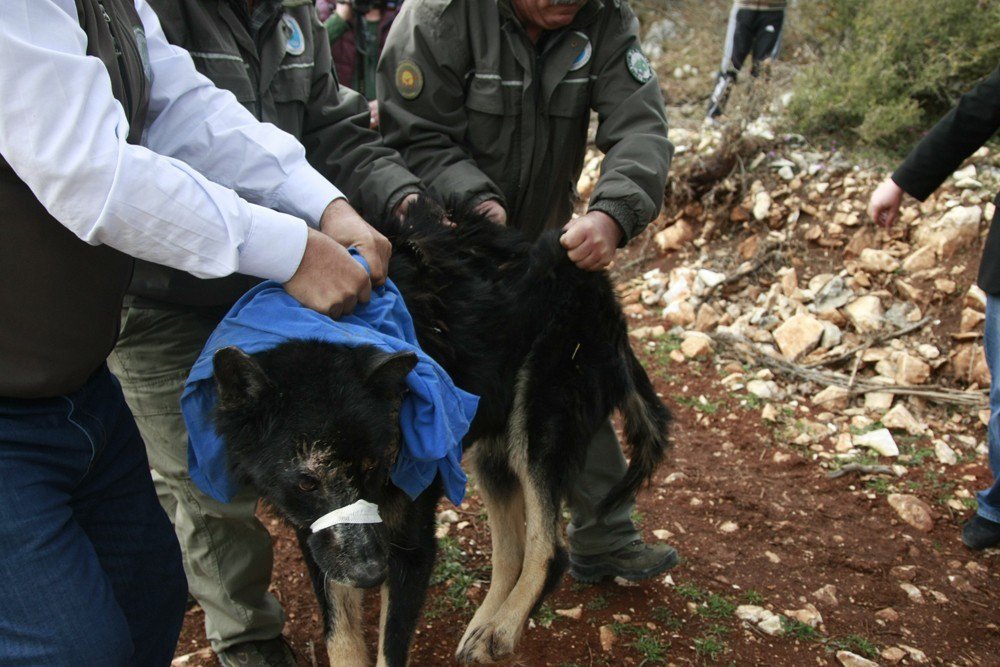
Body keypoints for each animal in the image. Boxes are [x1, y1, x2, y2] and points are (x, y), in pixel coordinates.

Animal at [211, 201, 672, 664]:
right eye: (307, 481)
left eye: (374, 468)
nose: (371, 574)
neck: (347, 327)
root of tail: (601, 284)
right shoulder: (317, 536)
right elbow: (341, 639)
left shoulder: (411, 543)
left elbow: (390, 647)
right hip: (493, 451)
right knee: (511, 553)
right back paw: (483, 626)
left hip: (539, 423)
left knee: (549, 549)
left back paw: (502, 627)